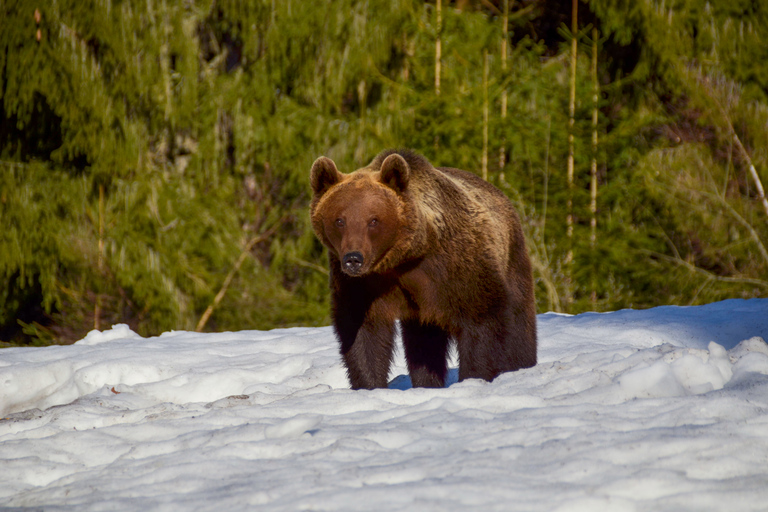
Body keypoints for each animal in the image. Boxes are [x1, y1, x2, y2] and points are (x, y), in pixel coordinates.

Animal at [310, 149, 537, 389]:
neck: (404, 258)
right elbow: (363, 331)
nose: (354, 259)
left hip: (512, 260)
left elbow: (481, 321)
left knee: (519, 322)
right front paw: (370, 384)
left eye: (373, 220)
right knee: (423, 344)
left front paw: (474, 376)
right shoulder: (362, 284)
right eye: (339, 220)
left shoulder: (458, 267)